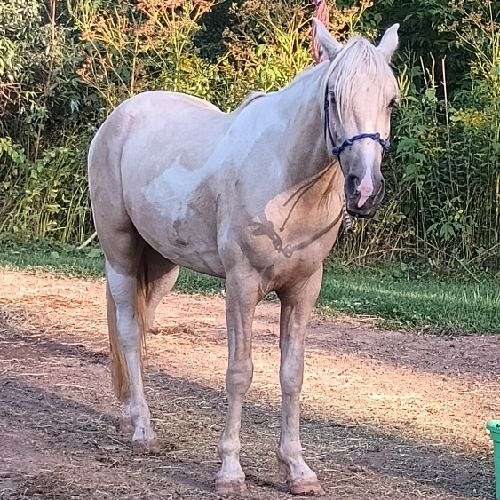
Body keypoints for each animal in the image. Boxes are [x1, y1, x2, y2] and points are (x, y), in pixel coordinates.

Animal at [89, 19, 398, 496]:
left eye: (391, 99)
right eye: (332, 97)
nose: (364, 190)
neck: (287, 179)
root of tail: (117, 119)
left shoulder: (303, 289)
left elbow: (292, 373)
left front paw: (297, 469)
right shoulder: (242, 285)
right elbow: (240, 372)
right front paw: (230, 471)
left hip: (160, 266)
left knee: (138, 331)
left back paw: (130, 418)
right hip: (119, 251)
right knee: (126, 330)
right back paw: (143, 432)